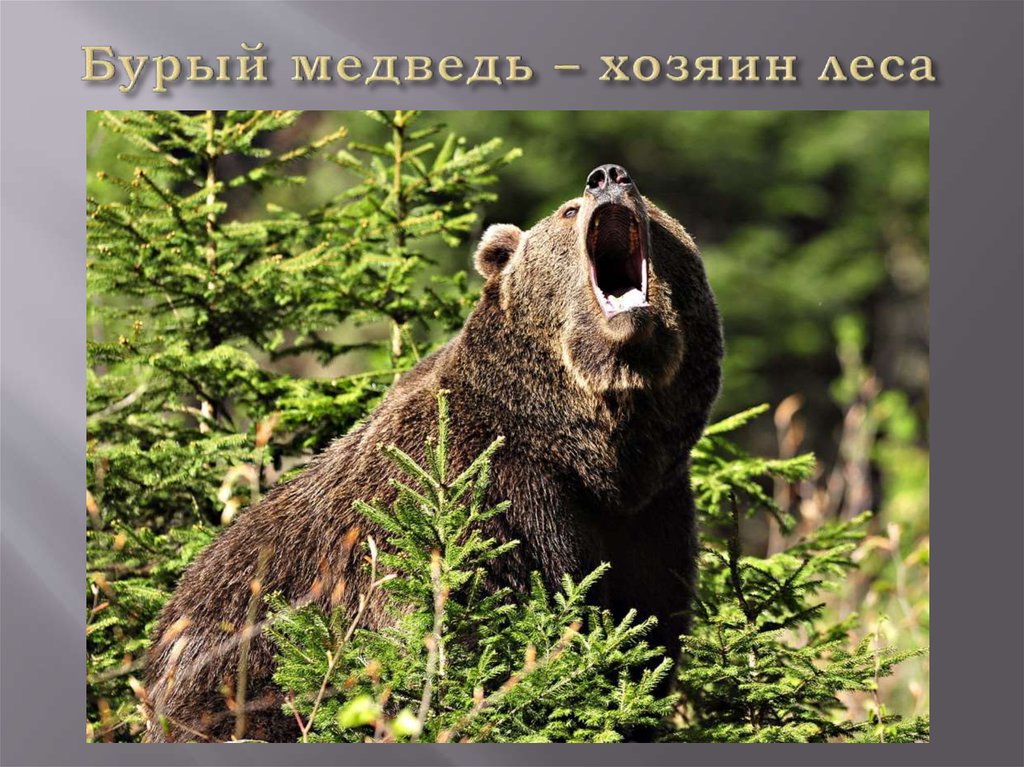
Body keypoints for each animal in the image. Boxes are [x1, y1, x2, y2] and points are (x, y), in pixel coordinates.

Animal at [143, 163, 723, 742]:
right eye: (568, 211)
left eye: (652, 205)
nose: (608, 176)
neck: (584, 445)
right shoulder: (478, 489)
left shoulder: (651, 514)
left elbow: (643, 634)